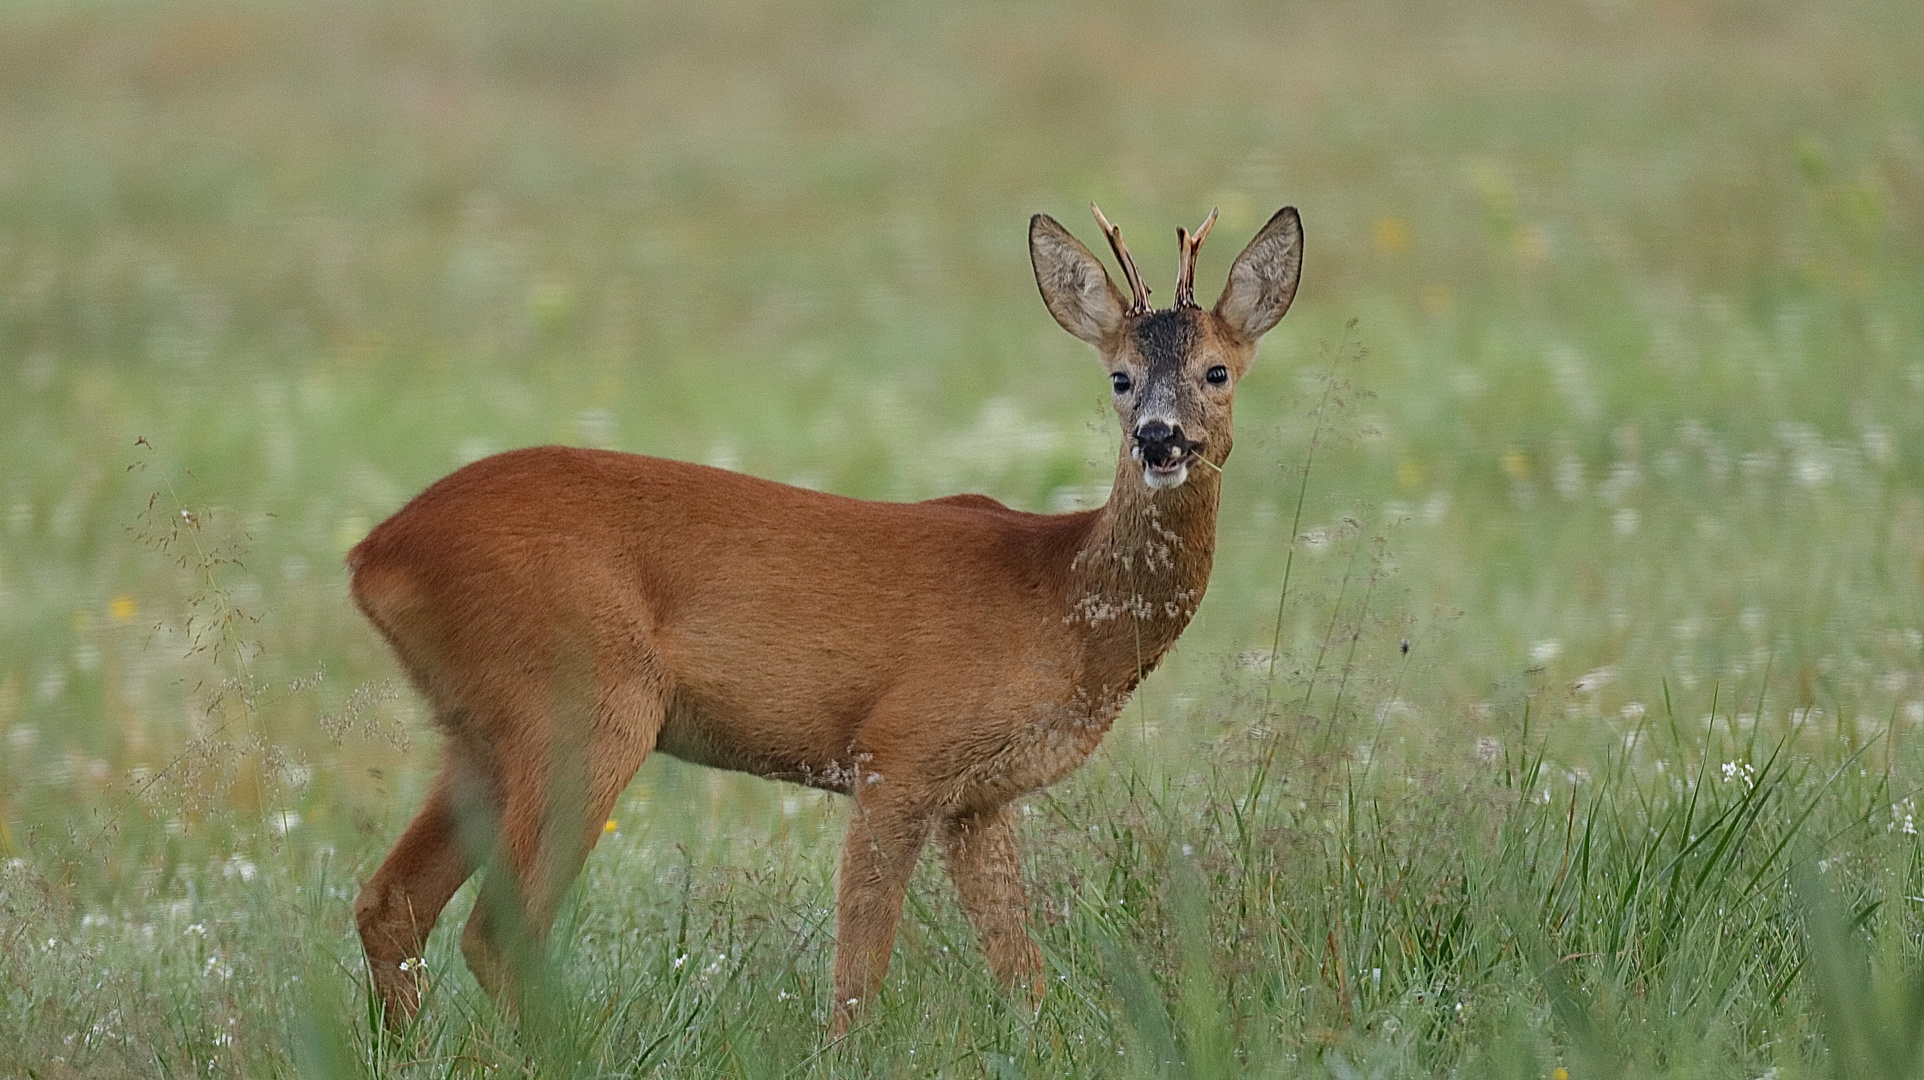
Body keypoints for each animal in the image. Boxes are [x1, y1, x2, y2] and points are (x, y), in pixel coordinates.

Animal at [350, 204, 1308, 1024]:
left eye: (1217, 370)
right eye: (1119, 378)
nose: (1159, 438)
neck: (1064, 606)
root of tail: (374, 553)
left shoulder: (979, 799)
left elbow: (1023, 976)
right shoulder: (900, 750)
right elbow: (857, 974)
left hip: (482, 730)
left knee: (390, 904)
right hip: (584, 702)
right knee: (498, 933)